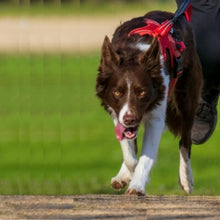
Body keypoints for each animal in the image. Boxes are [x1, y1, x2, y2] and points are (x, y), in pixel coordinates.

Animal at [95, 10, 202, 196]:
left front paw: (137, 184)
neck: (133, 53)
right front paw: (129, 175)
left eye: (142, 92)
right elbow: (130, 155)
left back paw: (186, 178)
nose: (130, 119)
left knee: (185, 141)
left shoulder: (156, 117)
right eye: (117, 92)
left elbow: (146, 156)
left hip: (187, 99)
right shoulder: (117, 114)